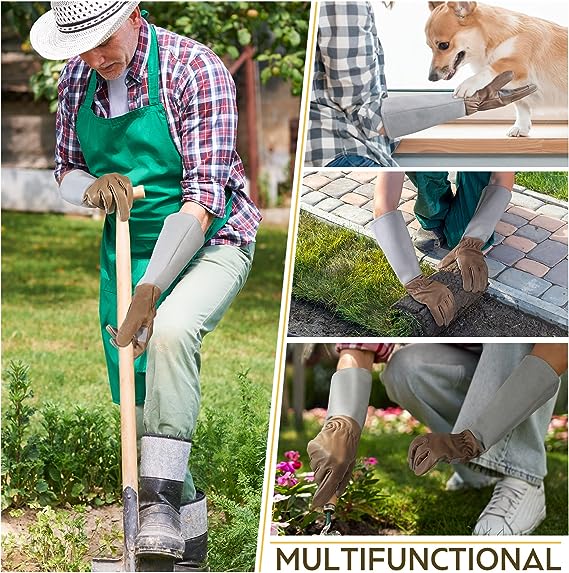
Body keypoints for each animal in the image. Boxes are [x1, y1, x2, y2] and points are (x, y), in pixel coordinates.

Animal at [426, 1, 564, 136]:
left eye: (444, 45)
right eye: (429, 47)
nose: (431, 78)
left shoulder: (517, 63)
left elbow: (490, 68)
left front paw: (468, 84)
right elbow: (521, 106)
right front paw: (521, 128)